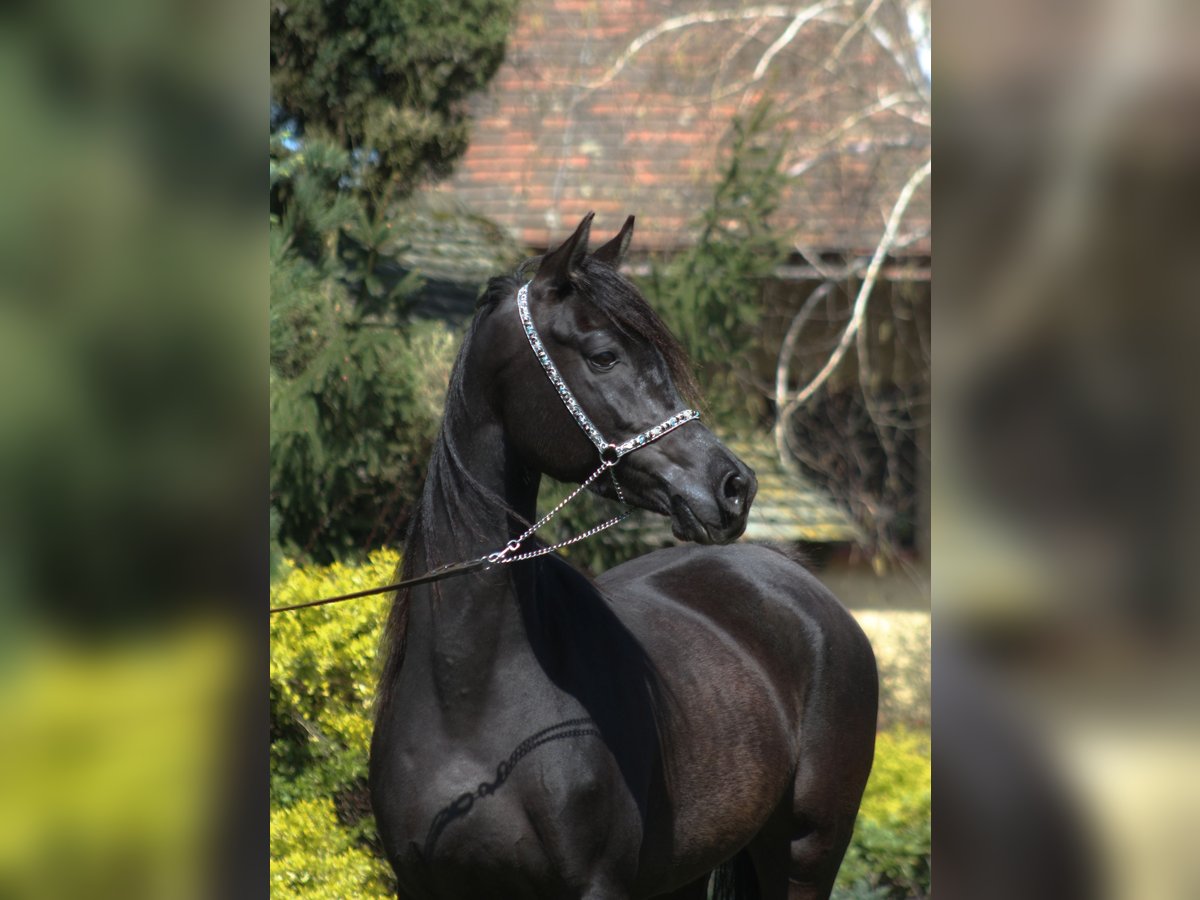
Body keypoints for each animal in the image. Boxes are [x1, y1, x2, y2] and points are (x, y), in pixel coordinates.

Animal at [369, 213, 878, 900]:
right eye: (605, 355)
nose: (734, 486)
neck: (467, 697)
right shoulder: (421, 884)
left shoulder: (598, 885)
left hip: (807, 852)